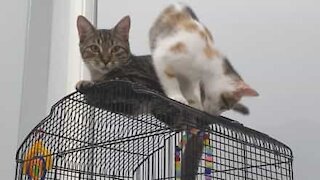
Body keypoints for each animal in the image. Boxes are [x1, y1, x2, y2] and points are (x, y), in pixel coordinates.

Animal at [150, 3, 260, 179]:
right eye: (225, 104)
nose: (213, 115)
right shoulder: (165, 56)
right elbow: (169, 78)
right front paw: (177, 97)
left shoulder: (190, 79)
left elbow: (191, 93)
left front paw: (194, 105)